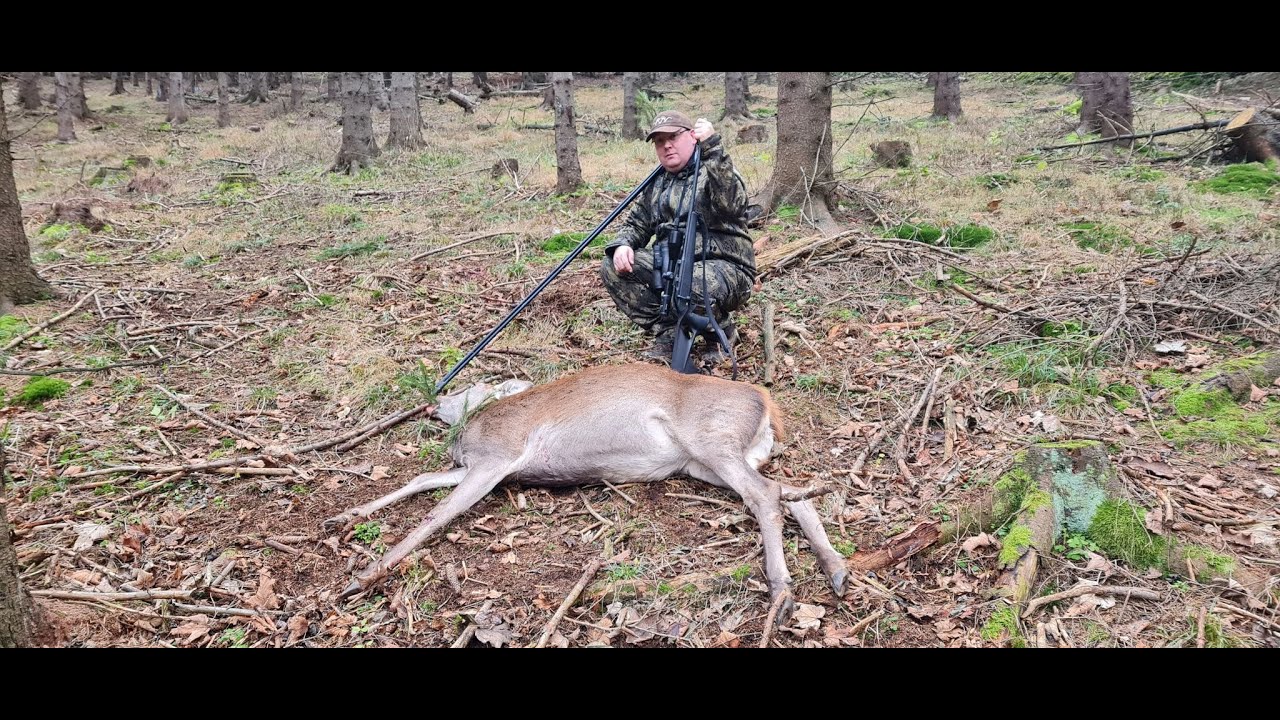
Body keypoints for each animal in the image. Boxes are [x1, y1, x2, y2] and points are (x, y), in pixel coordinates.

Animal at [324, 362, 850, 624]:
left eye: (473, 388)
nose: (435, 401)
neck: (469, 441)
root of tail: (766, 401)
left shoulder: (497, 458)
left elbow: (436, 514)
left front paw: (362, 576)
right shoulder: (480, 467)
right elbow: (419, 481)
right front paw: (345, 516)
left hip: (712, 442)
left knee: (766, 495)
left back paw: (782, 592)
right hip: (707, 463)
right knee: (790, 490)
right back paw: (837, 569)